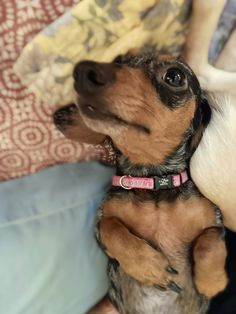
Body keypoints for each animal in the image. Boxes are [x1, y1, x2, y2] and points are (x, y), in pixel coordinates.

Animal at [54, 52, 228, 314]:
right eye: (119, 60)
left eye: (175, 76)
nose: (84, 71)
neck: (154, 182)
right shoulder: (101, 222)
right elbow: (111, 228)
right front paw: (150, 267)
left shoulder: (214, 219)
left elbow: (210, 238)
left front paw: (211, 281)